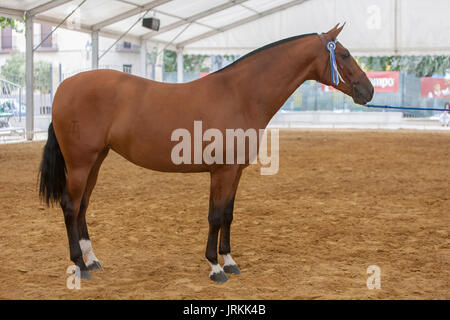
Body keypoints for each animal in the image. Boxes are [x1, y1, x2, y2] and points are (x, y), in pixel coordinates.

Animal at [37, 24, 372, 282]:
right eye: (344, 54)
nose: (368, 91)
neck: (241, 95)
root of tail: (63, 87)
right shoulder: (221, 171)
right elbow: (215, 216)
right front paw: (214, 267)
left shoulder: (235, 171)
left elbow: (228, 215)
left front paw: (230, 261)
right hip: (80, 163)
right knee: (70, 206)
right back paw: (79, 265)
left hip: (96, 161)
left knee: (82, 206)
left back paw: (92, 259)